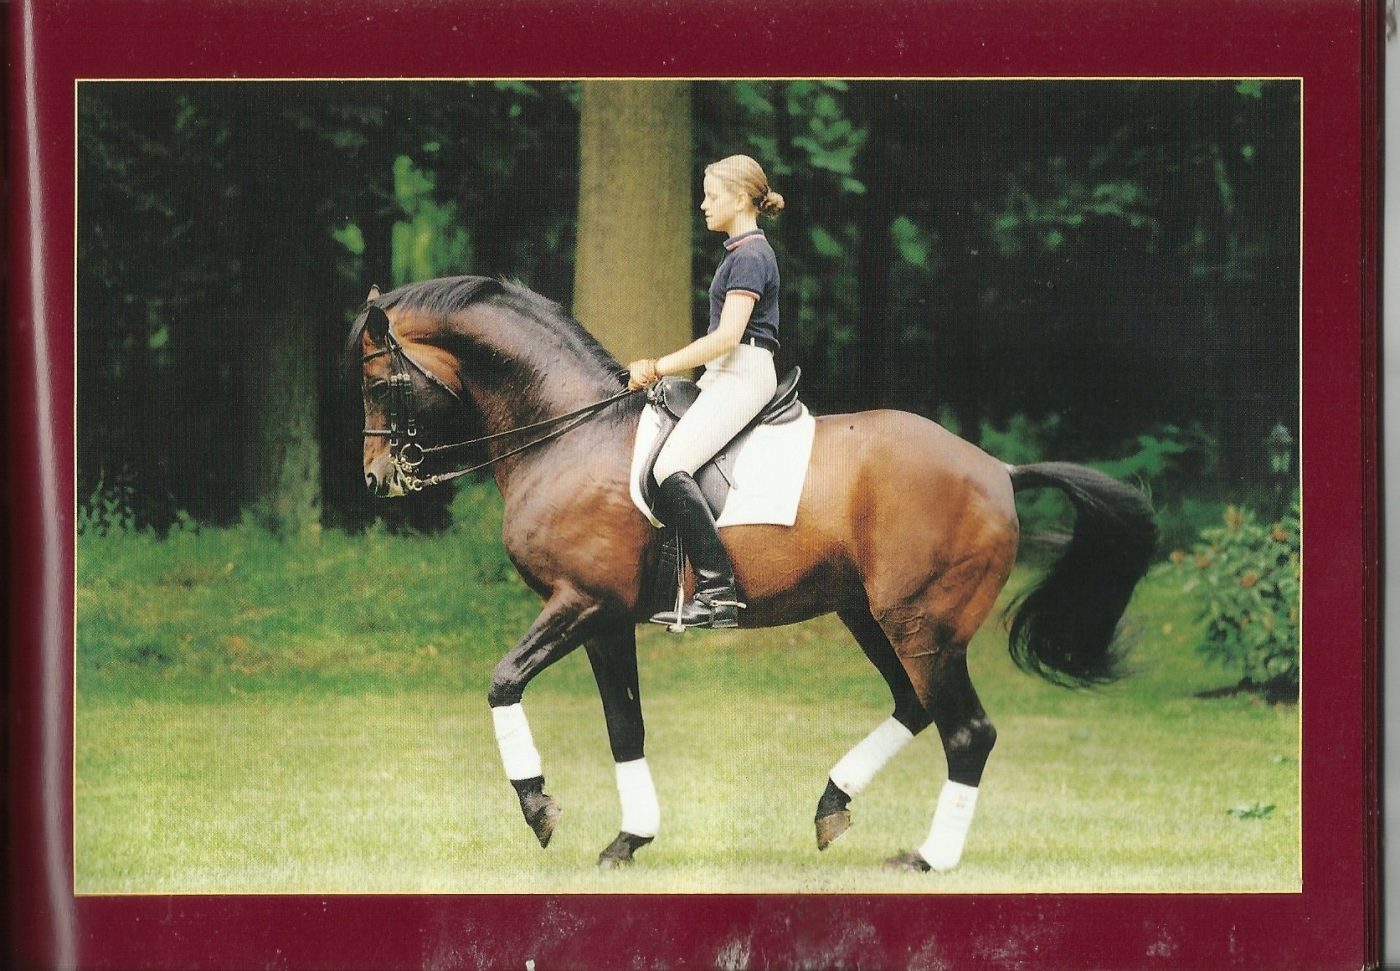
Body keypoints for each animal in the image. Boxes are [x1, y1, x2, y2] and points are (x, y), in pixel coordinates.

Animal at [351, 275, 1156, 871]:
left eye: (382, 386)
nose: (376, 479)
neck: (570, 433)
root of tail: (998, 470)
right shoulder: (606, 620)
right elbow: (624, 725)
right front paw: (630, 838)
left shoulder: (578, 603)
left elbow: (503, 682)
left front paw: (540, 810)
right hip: (871, 616)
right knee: (916, 707)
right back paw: (833, 805)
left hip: (922, 625)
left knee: (968, 734)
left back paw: (927, 856)